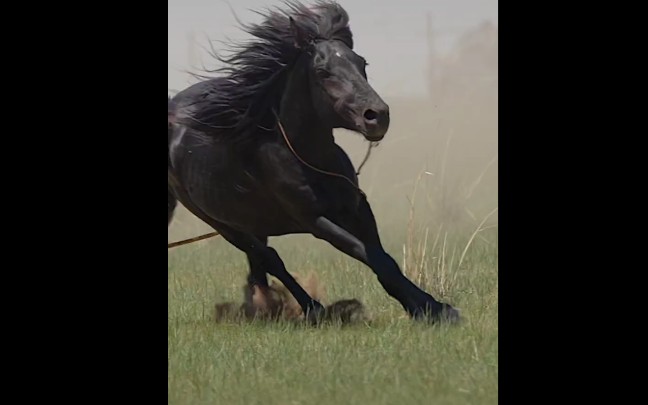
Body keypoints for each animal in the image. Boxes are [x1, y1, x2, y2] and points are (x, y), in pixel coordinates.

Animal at [170, 0, 458, 322]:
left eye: (362, 64)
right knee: (268, 258)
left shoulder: (358, 208)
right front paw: (434, 310)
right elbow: (370, 255)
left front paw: (428, 306)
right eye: (323, 71)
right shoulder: (316, 221)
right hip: (222, 224)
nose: (377, 116)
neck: (309, 159)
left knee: (259, 264)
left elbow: (382, 258)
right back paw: (311, 308)